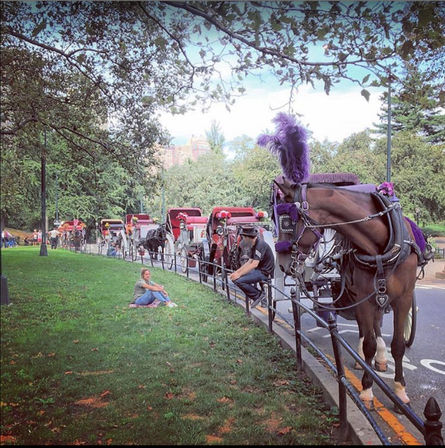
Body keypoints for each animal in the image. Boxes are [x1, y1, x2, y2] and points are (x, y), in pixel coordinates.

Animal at [258, 114, 428, 412]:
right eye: (278, 218)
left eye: (289, 219)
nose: (284, 264)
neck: (382, 244)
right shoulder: (364, 294)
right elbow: (369, 340)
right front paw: (367, 389)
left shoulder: (403, 297)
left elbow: (397, 344)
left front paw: (399, 390)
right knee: (368, 328)